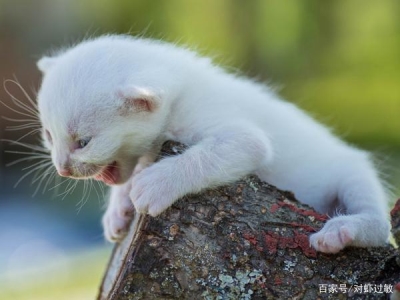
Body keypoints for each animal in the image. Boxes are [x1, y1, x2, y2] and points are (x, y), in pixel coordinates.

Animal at [36, 35, 390, 253]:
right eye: (49, 136)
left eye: (83, 142)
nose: (62, 168)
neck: (179, 95)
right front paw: (118, 210)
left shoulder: (241, 136)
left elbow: (207, 155)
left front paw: (155, 184)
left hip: (354, 174)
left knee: (380, 226)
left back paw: (341, 231)